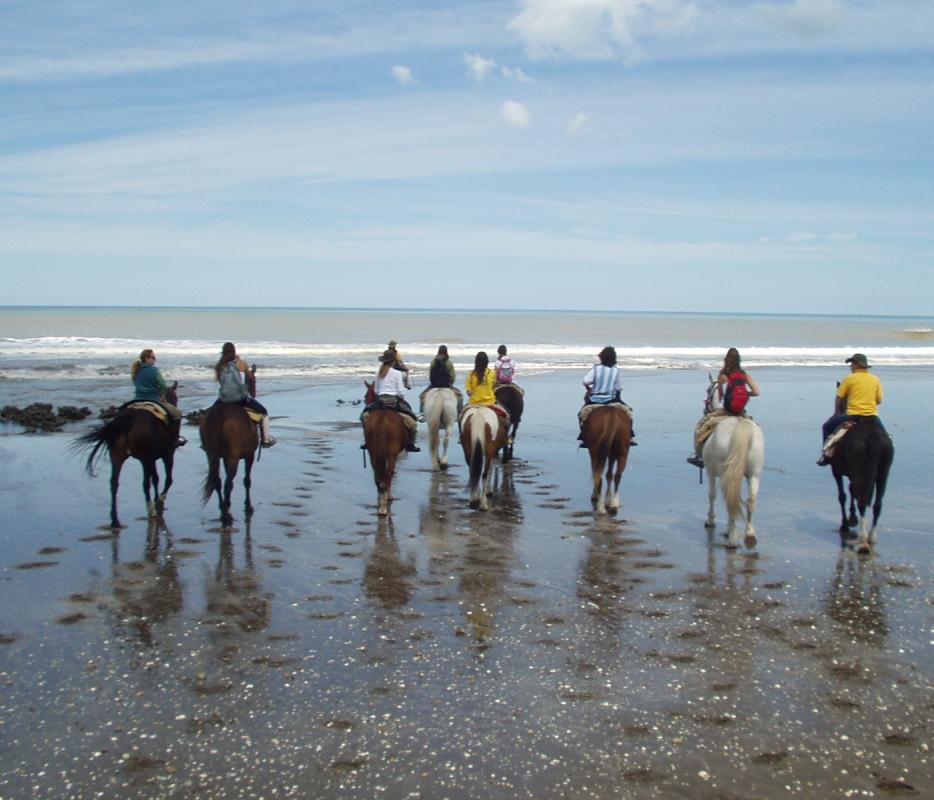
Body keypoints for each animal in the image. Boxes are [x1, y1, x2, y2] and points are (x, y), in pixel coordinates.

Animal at [75, 384, 181, 528]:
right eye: (176, 397)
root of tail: (128, 418)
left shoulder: (149, 459)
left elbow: (156, 478)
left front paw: (157, 500)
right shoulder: (166, 455)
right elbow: (166, 479)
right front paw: (159, 502)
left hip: (117, 456)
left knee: (114, 483)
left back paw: (115, 519)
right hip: (146, 458)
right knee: (147, 483)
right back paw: (151, 510)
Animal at [366, 378, 410, 516]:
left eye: (366, 396)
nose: (367, 403)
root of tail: (383, 418)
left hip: (373, 453)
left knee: (378, 476)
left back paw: (381, 502)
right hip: (392, 454)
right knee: (388, 474)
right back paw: (385, 503)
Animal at [704, 378, 768, 548]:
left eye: (708, 390)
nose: (705, 410)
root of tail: (740, 425)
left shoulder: (710, 471)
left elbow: (712, 495)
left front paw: (711, 520)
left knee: (729, 499)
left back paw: (731, 539)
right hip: (754, 473)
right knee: (750, 500)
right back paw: (749, 535)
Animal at [832, 418, 892, 552]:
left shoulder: (836, 470)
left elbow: (842, 496)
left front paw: (845, 524)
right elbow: (851, 491)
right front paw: (852, 518)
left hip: (858, 470)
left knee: (861, 501)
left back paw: (863, 541)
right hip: (883, 473)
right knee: (877, 505)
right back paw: (870, 537)